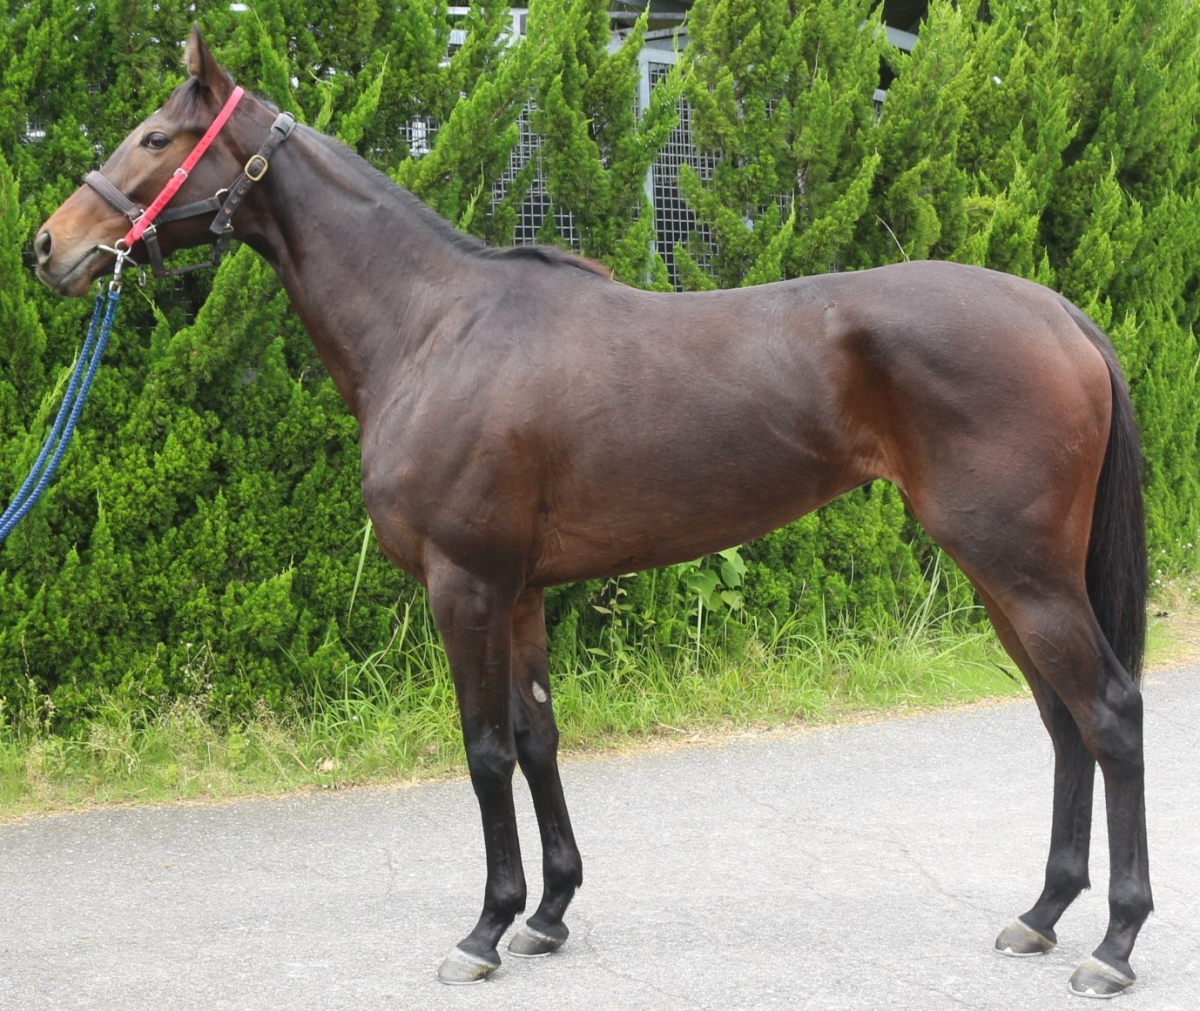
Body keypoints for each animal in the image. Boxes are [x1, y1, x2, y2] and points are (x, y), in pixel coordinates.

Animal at [34, 29, 1151, 997]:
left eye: (156, 137)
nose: (50, 245)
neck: (435, 327)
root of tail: (1060, 313)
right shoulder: (520, 591)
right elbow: (538, 739)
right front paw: (548, 914)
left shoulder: (465, 587)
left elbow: (484, 750)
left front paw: (484, 928)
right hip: (1002, 574)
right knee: (1061, 719)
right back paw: (1042, 915)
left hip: (1019, 567)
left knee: (1108, 711)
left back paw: (1113, 945)